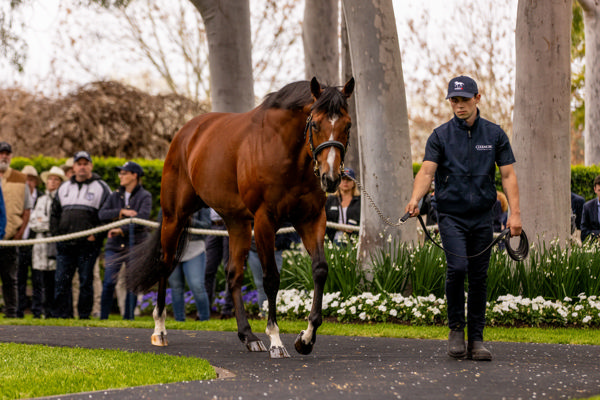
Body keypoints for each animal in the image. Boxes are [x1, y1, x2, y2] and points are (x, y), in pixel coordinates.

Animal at [125, 76, 352, 358]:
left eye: (347, 125)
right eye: (316, 123)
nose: (331, 178)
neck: (283, 149)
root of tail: (186, 133)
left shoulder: (311, 219)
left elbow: (320, 269)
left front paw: (306, 338)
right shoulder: (265, 220)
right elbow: (271, 279)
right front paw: (276, 339)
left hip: (237, 223)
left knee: (233, 274)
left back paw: (248, 335)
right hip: (174, 217)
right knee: (165, 265)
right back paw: (159, 329)